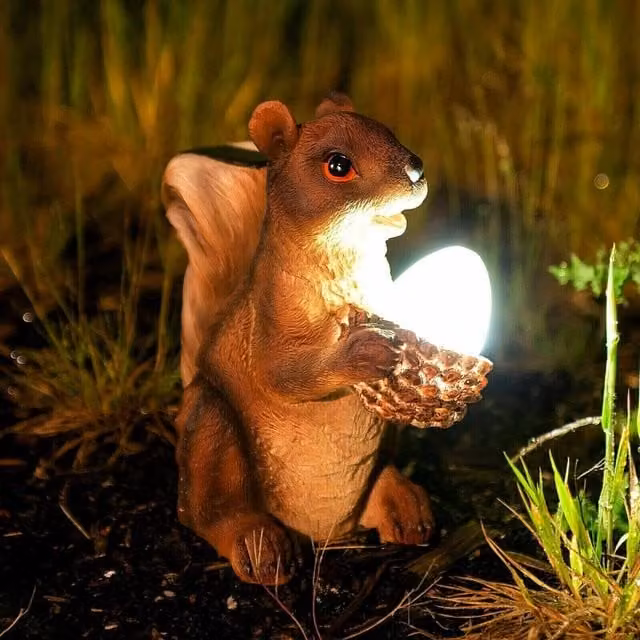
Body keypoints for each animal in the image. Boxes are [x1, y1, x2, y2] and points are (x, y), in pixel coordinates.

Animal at [162, 93, 431, 585]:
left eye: (389, 131)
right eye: (338, 165)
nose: (417, 170)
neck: (348, 251)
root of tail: (327, 530)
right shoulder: (272, 320)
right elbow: (286, 374)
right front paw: (362, 349)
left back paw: (403, 503)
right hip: (212, 425)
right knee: (203, 513)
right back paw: (258, 543)